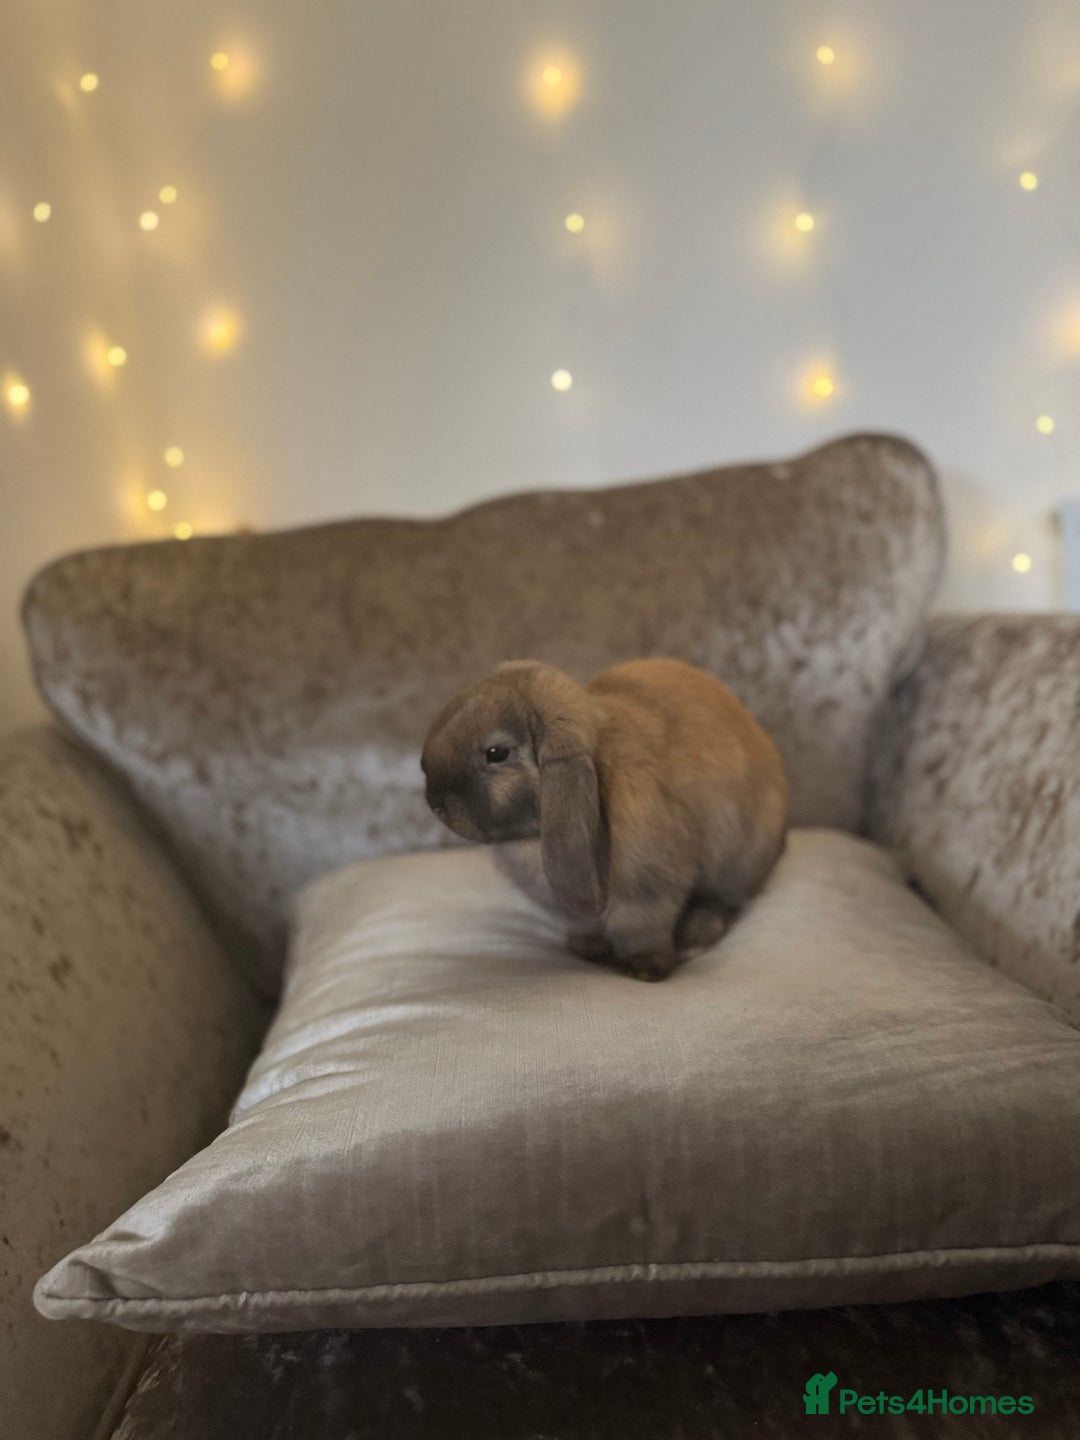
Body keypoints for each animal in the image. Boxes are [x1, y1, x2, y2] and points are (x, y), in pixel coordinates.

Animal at [421, 658, 788, 981]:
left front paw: (644, 970)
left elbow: (644, 931)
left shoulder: (650, 893)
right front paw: (587, 949)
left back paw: (695, 938)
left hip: (738, 865)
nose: (434, 801)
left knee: (721, 902)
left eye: (496, 753)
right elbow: (586, 926)